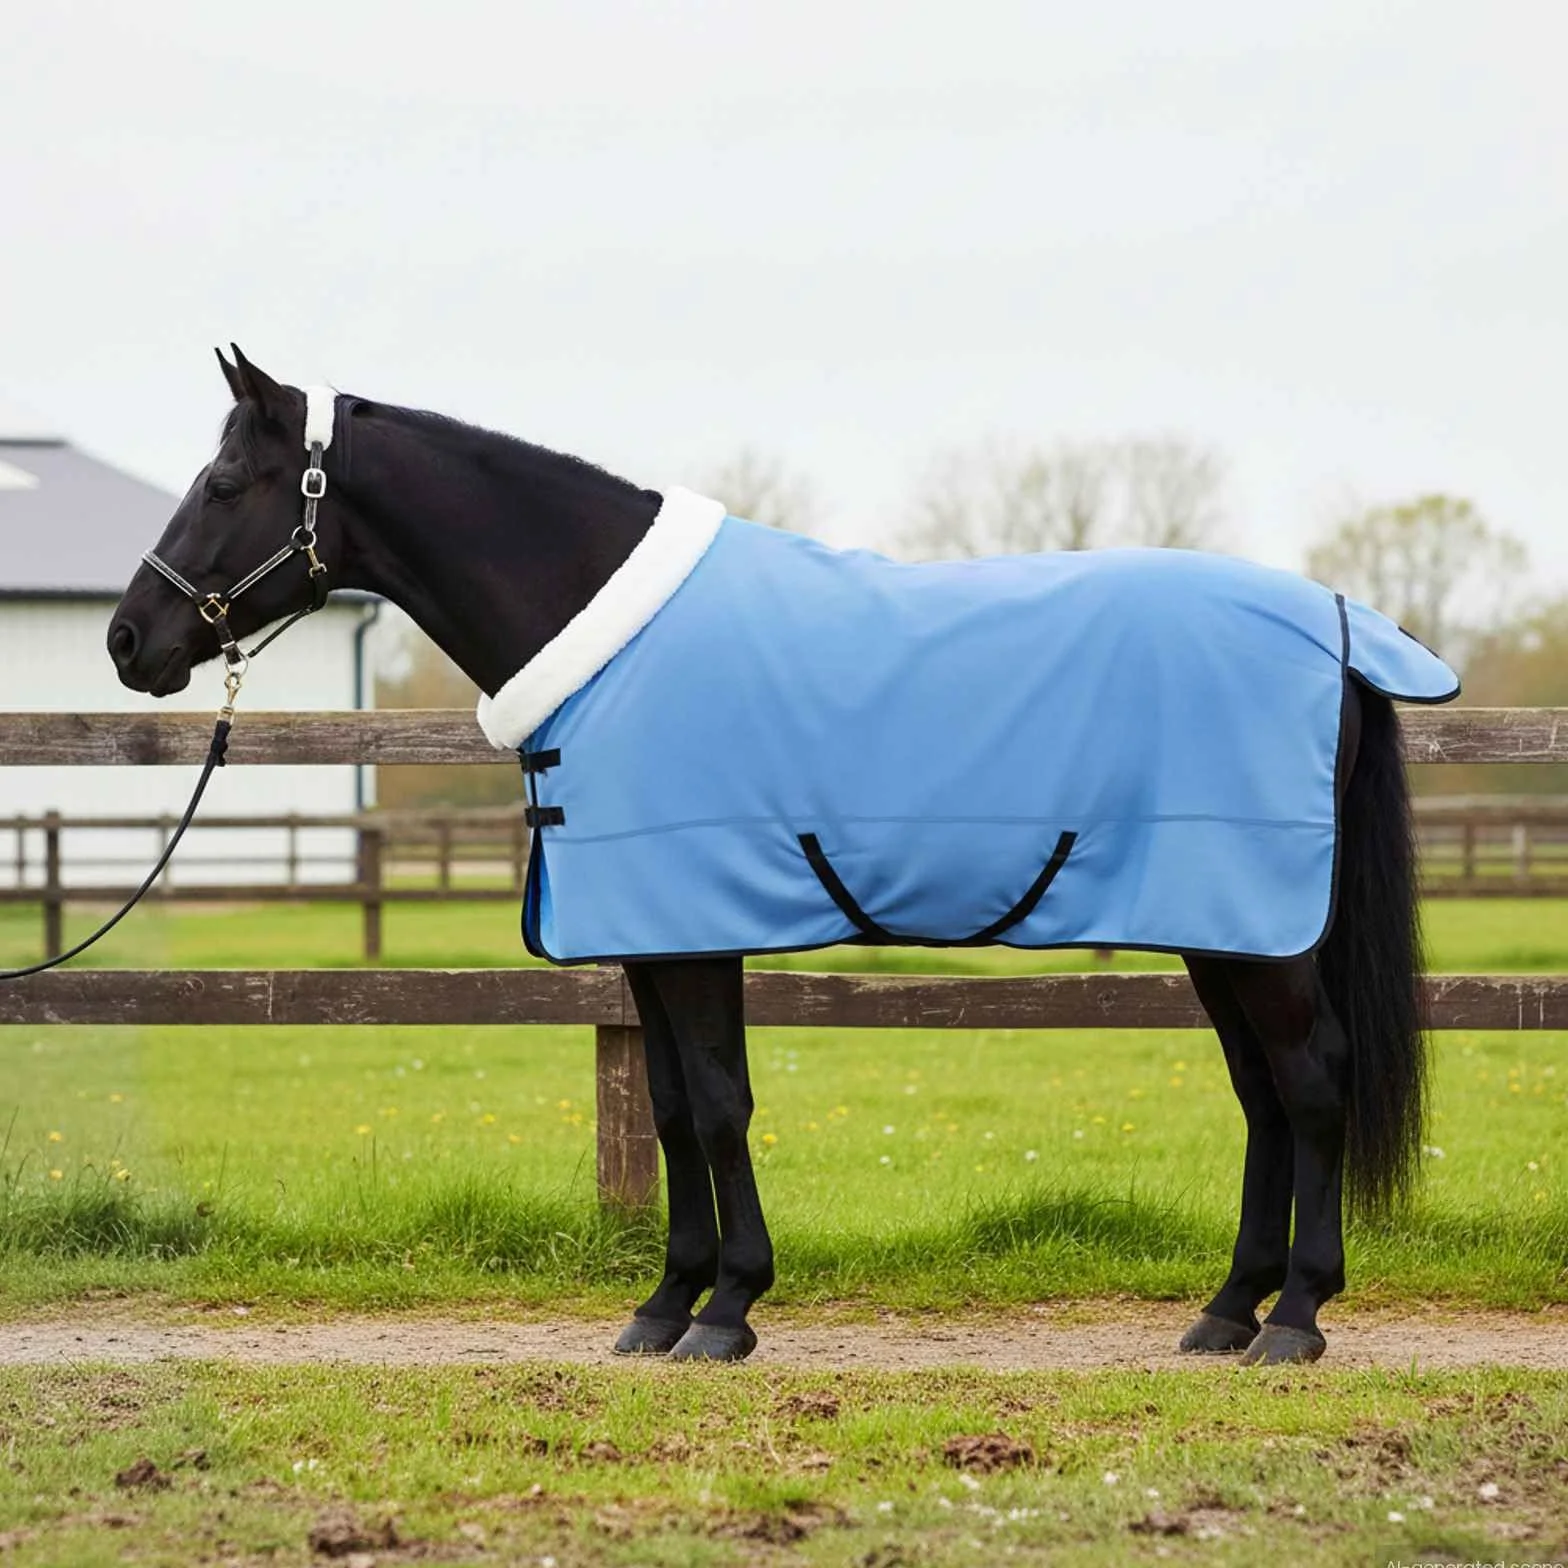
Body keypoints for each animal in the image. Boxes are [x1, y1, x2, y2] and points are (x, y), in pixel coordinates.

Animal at [108, 347, 1453, 1367]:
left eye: (225, 479)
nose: (129, 638)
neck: (603, 634)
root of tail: (1338, 627)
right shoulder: (647, 939)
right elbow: (665, 1110)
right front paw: (664, 1305)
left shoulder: (693, 930)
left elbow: (715, 1104)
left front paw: (727, 1309)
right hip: (1222, 925)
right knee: (1262, 1094)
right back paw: (1225, 1309)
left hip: (1259, 930)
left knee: (1311, 1082)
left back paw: (1293, 1317)